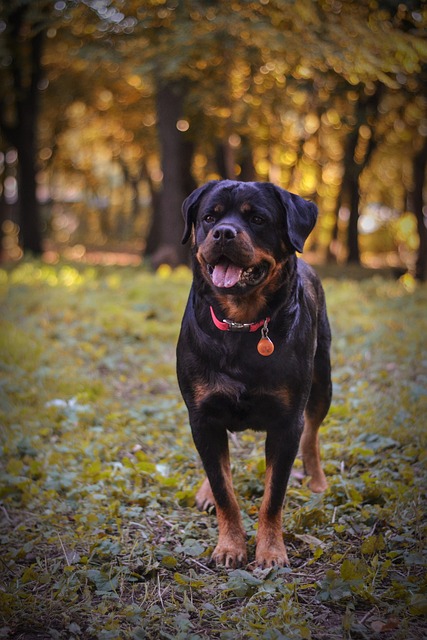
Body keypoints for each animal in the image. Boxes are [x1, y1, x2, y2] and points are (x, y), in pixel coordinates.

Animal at [176, 180, 332, 568]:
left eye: (258, 219)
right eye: (209, 217)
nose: (224, 232)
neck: (241, 324)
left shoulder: (286, 422)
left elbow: (273, 495)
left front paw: (271, 550)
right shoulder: (202, 415)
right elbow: (224, 490)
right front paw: (230, 545)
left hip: (323, 380)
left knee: (312, 433)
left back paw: (317, 479)